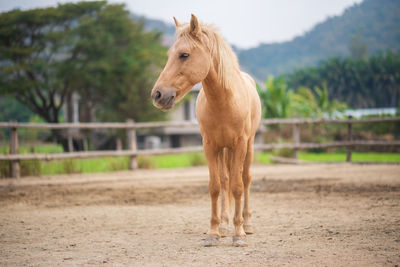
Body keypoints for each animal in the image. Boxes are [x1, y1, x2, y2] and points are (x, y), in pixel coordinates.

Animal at [152, 13, 260, 247]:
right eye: (169, 54)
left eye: (184, 55)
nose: (157, 95)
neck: (225, 101)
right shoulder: (210, 146)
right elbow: (216, 186)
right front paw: (214, 232)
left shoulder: (239, 144)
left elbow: (238, 186)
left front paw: (239, 235)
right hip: (224, 149)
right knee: (226, 181)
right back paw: (226, 224)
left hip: (248, 145)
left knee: (245, 179)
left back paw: (247, 224)